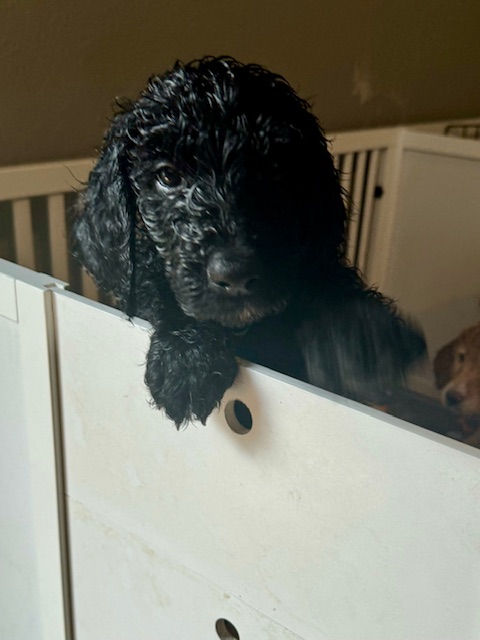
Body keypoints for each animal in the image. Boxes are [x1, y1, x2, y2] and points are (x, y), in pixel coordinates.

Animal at [72, 56, 426, 428]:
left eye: (274, 170)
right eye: (167, 176)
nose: (235, 273)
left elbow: (327, 282)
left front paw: (362, 334)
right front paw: (186, 354)